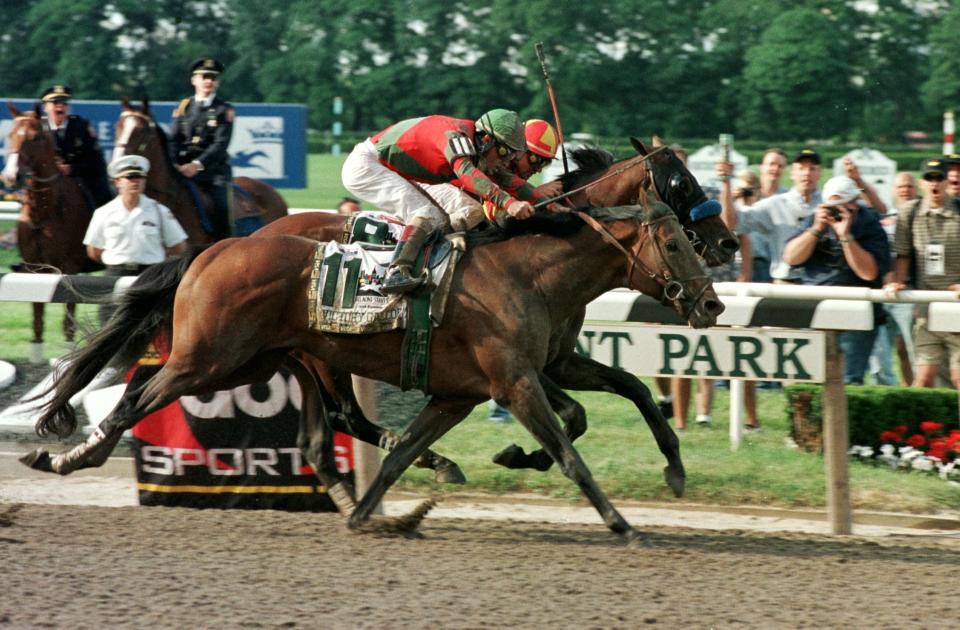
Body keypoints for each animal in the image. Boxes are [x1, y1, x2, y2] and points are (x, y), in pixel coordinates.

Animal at [1, 106, 96, 348]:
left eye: (35, 137)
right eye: (10, 135)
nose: (10, 177)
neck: (46, 210)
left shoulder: (70, 268)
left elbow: (69, 324)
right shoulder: (35, 268)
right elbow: (37, 322)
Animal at [24, 201, 720, 544]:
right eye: (676, 242)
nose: (711, 302)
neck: (528, 272)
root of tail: (212, 247)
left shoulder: (473, 390)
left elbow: (403, 452)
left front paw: (376, 515)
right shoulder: (517, 382)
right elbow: (571, 453)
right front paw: (622, 523)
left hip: (256, 361)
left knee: (317, 433)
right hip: (207, 358)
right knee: (135, 396)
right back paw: (67, 456)